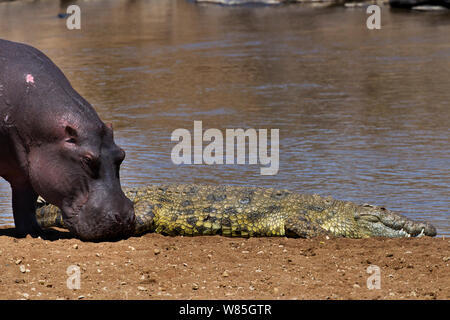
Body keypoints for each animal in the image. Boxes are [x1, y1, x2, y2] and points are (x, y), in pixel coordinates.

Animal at [0, 38, 135, 240]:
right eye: (87, 159)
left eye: (122, 155)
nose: (124, 218)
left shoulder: (27, 171)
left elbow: (25, 202)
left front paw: (35, 233)